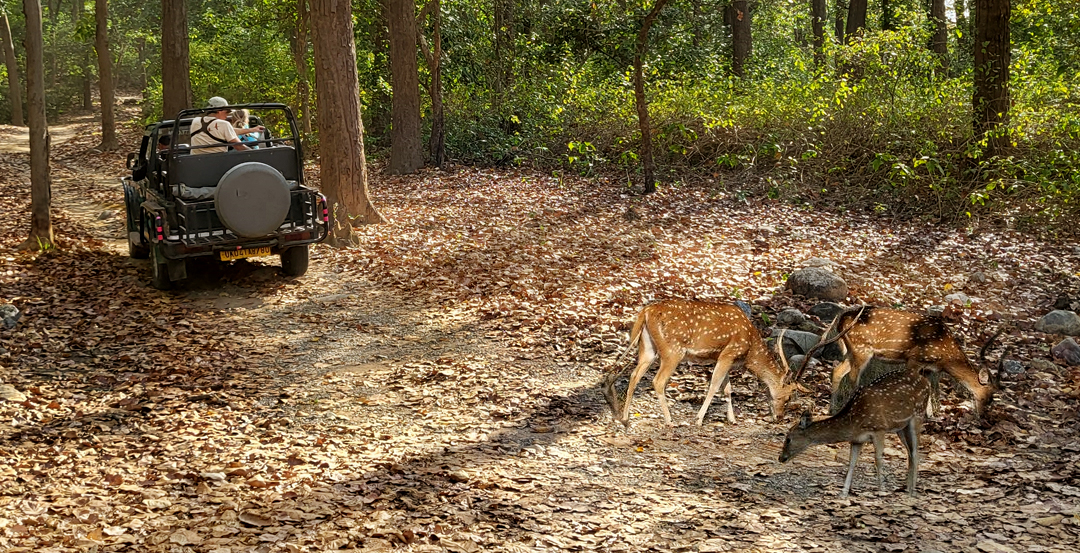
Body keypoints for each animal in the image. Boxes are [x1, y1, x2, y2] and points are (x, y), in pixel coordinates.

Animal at [604, 300, 807, 425]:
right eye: (789, 396)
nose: (779, 417)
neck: (750, 350)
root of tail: (646, 312)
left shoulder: (723, 357)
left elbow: (727, 388)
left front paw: (732, 419)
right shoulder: (729, 353)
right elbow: (714, 386)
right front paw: (699, 419)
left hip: (647, 347)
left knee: (634, 375)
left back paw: (625, 417)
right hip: (673, 350)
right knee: (658, 381)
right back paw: (669, 420)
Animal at [781, 367, 933, 496]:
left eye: (788, 438)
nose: (781, 458)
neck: (854, 423)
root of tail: (926, 381)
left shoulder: (879, 428)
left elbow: (878, 459)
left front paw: (882, 490)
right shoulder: (857, 440)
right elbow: (851, 463)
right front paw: (843, 493)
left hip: (918, 415)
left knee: (916, 452)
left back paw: (912, 491)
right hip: (901, 427)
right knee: (910, 452)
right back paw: (907, 488)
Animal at [786, 306, 1002, 414]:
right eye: (989, 396)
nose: (984, 419)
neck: (945, 356)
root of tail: (842, 318)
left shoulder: (929, 368)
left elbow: (927, 389)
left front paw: (931, 417)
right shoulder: (915, 358)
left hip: (850, 350)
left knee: (837, 371)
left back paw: (831, 408)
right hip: (862, 348)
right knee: (854, 378)